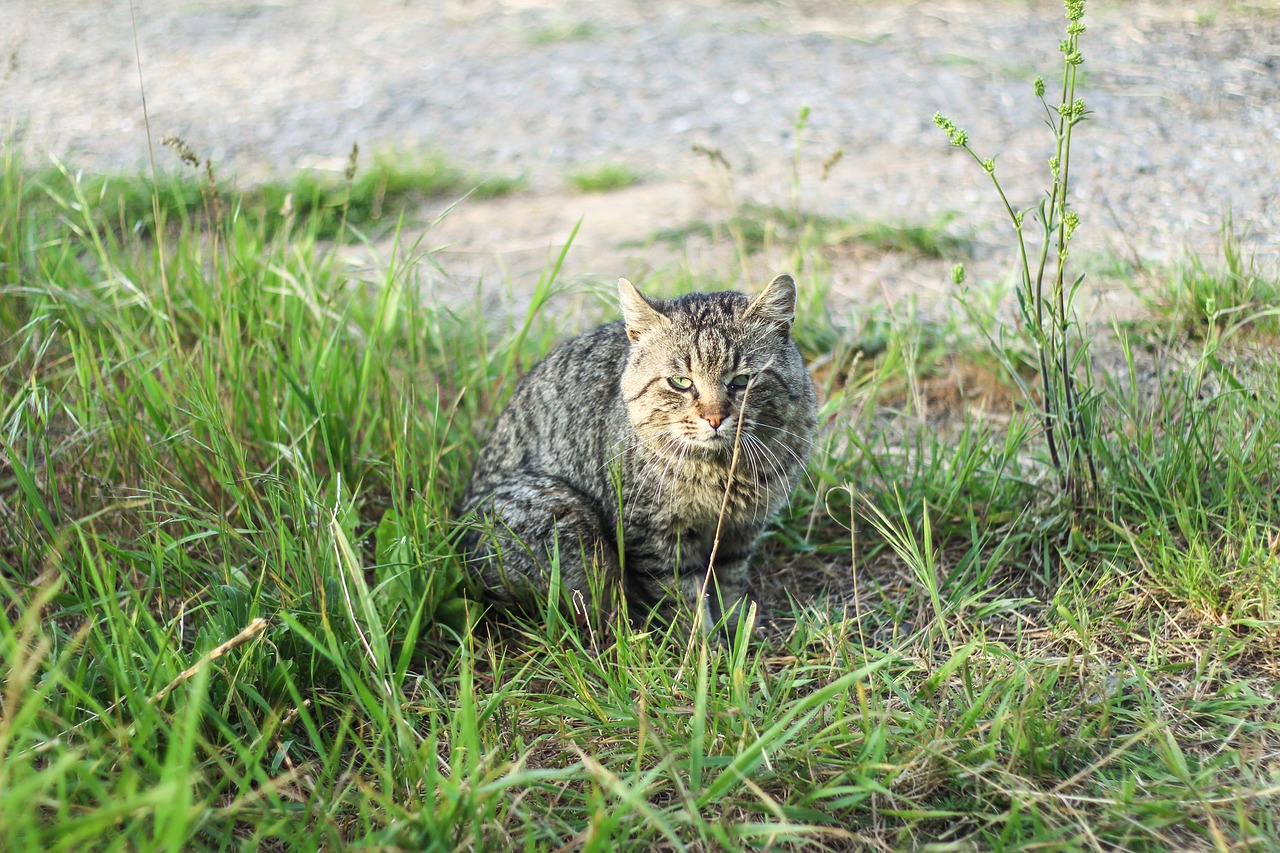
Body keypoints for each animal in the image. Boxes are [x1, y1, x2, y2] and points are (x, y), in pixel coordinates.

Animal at [463, 272, 819, 630]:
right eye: (681, 382)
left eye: (743, 380)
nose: (715, 417)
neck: (720, 472)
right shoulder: (654, 536)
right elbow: (684, 599)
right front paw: (704, 641)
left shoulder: (742, 531)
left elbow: (728, 585)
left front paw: (736, 630)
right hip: (562, 512)